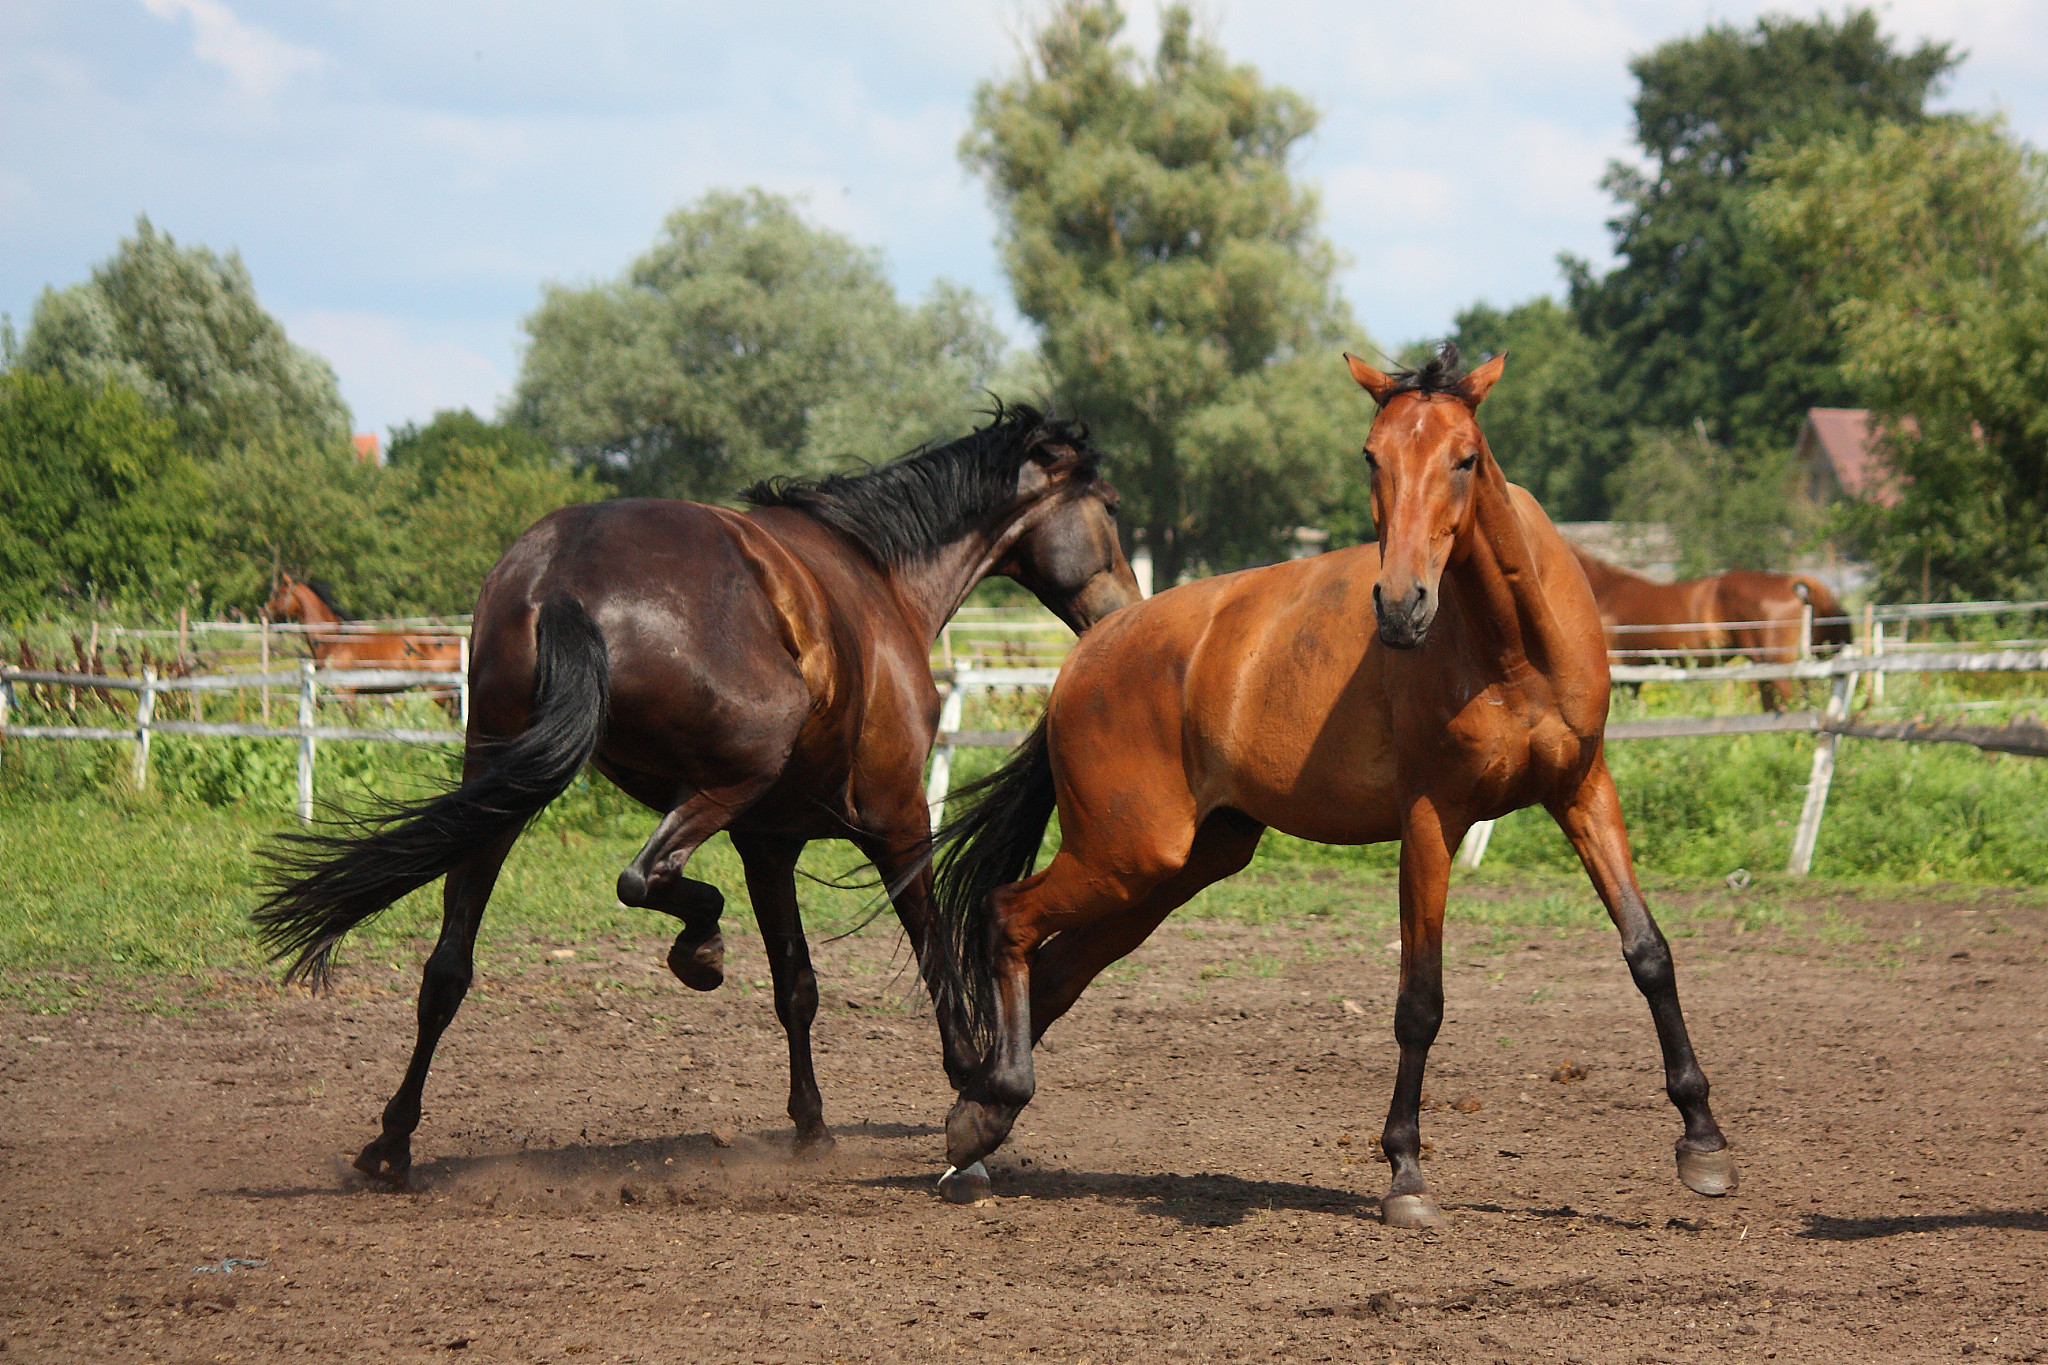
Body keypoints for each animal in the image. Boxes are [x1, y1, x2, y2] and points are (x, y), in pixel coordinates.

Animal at [255, 404, 1140, 1186]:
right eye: (1109, 506)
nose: (1122, 613)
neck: (878, 580)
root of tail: (559, 579)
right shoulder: (896, 821)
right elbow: (933, 962)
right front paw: (971, 1105)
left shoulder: (768, 843)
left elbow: (797, 985)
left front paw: (812, 1127)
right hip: (727, 776)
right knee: (641, 875)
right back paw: (700, 946)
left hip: (497, 791)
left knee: (449, 967)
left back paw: (392, 1143)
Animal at [927, 348, 1735, 1225]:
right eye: (1371, 457)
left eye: (1465, 458)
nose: (1402, 605)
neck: (1514, 647)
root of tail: (1088, 652)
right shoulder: (1430, 820)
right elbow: (1421, 999)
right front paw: (1406, 1172)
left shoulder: (1583, 789)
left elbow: (1648, 952)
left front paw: (1703, 1140)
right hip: (1126, 855)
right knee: (1007, 915)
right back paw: (980, 1121)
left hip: (1175, 868)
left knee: (1054, 971)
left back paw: (977, 1123)